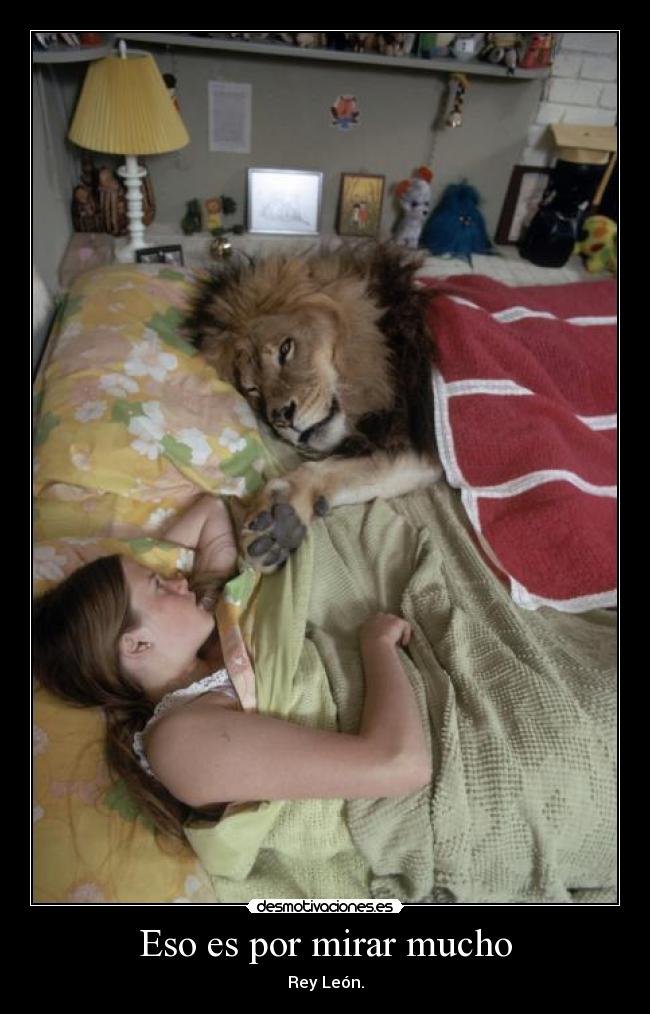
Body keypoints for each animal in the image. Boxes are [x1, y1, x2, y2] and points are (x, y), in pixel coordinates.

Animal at [186, 243, 442, 571]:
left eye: (285, 349)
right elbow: (340, 472)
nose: (281, 418)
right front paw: (279, 523)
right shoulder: (422, 446)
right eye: (253, 389)